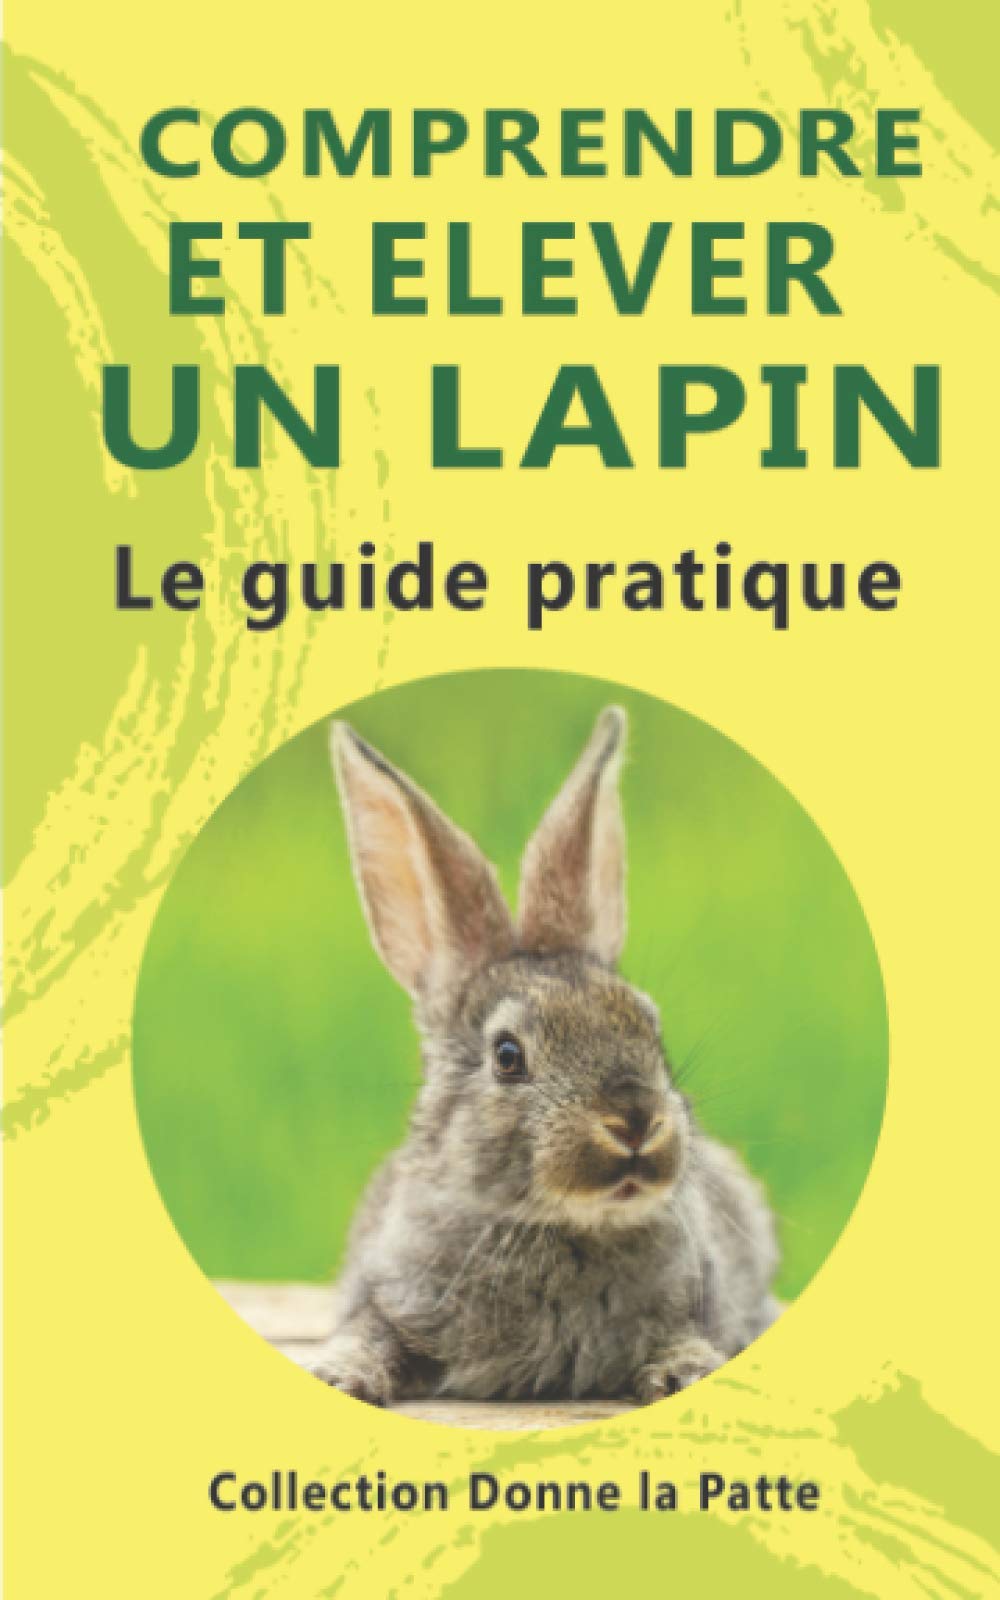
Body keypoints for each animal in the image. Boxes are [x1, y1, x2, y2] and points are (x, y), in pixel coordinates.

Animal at [310, 705, 780, 1407]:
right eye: (508, 1055)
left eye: (651, 1026)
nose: (635, 1122)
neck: (557, 1226)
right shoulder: (386, 1294)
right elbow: (370, 1332)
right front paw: (343, 1377)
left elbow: (683, 1336)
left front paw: (683, 1374)